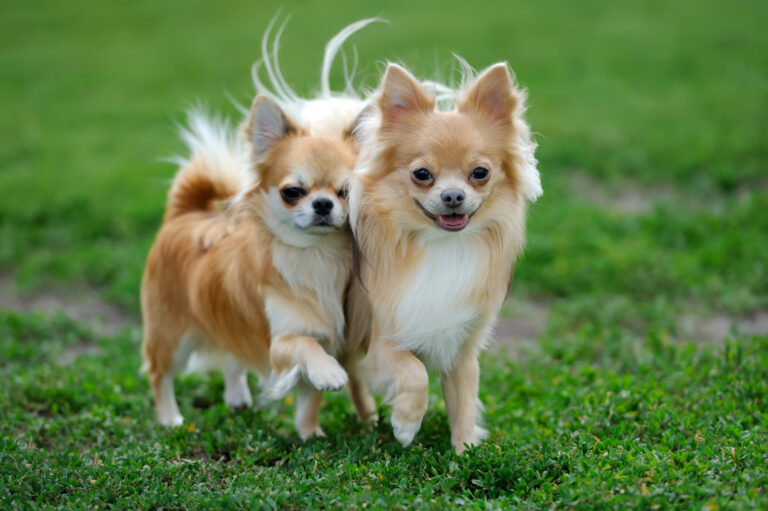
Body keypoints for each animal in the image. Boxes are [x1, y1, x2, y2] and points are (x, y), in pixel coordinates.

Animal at [140, 18, 380, 438]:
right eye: (292, 192)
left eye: (346, 192)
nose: (322, 204)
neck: (314, 256)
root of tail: (184, 213)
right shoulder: (281, 341)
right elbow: (305, 349)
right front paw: (332, 374)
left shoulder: (325, 333)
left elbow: (309, 401)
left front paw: (310, 435)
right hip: (171, 333)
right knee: (160, 372)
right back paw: (170, 419)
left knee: (231, 355)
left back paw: (237, 398)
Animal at [348, 61, 540, 456]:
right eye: (422, 174)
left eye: (480, 173)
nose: (453, 196)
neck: (442, 245)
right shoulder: (379, 343)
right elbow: (414, 371)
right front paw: (406, 425)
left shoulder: (462, 348)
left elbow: (463, 399)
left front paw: (465, 450)